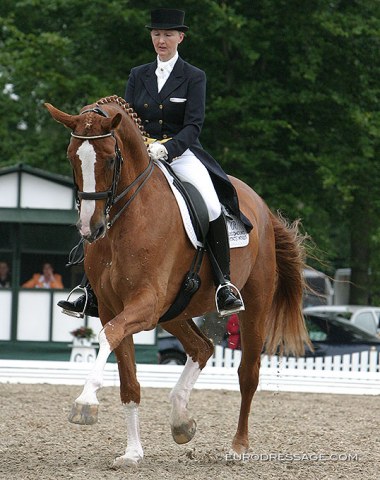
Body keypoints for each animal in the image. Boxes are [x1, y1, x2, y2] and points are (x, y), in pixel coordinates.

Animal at [46, 95, 310, 466]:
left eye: (110, 159)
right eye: (72, 157)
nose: (90, 229)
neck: (129, 218)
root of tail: (260, 205)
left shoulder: (145, 303)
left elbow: (107, 335)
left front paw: (85, 403)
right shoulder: (116, 308)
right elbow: (128, 380)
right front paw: (133, 452)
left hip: (252, 305)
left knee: (247, 373)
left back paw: (237, 447)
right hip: (174, 311)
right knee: (202, 347)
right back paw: (181, 420)